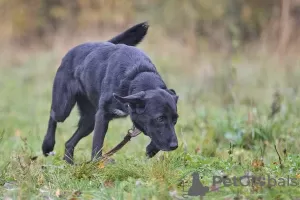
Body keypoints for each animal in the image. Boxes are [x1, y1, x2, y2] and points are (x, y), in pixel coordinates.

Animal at [41, 21, 178, 164]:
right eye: (160, 119)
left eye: (175, 120)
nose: (175, 146)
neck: (136, 74)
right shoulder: (102, 116)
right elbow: (97, 144)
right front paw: (96, 163)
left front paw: (151, 149)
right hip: (64, 107)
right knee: (53, 115)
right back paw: (47, 145)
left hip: (90, 119)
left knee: (69, 142)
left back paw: (69, 163)